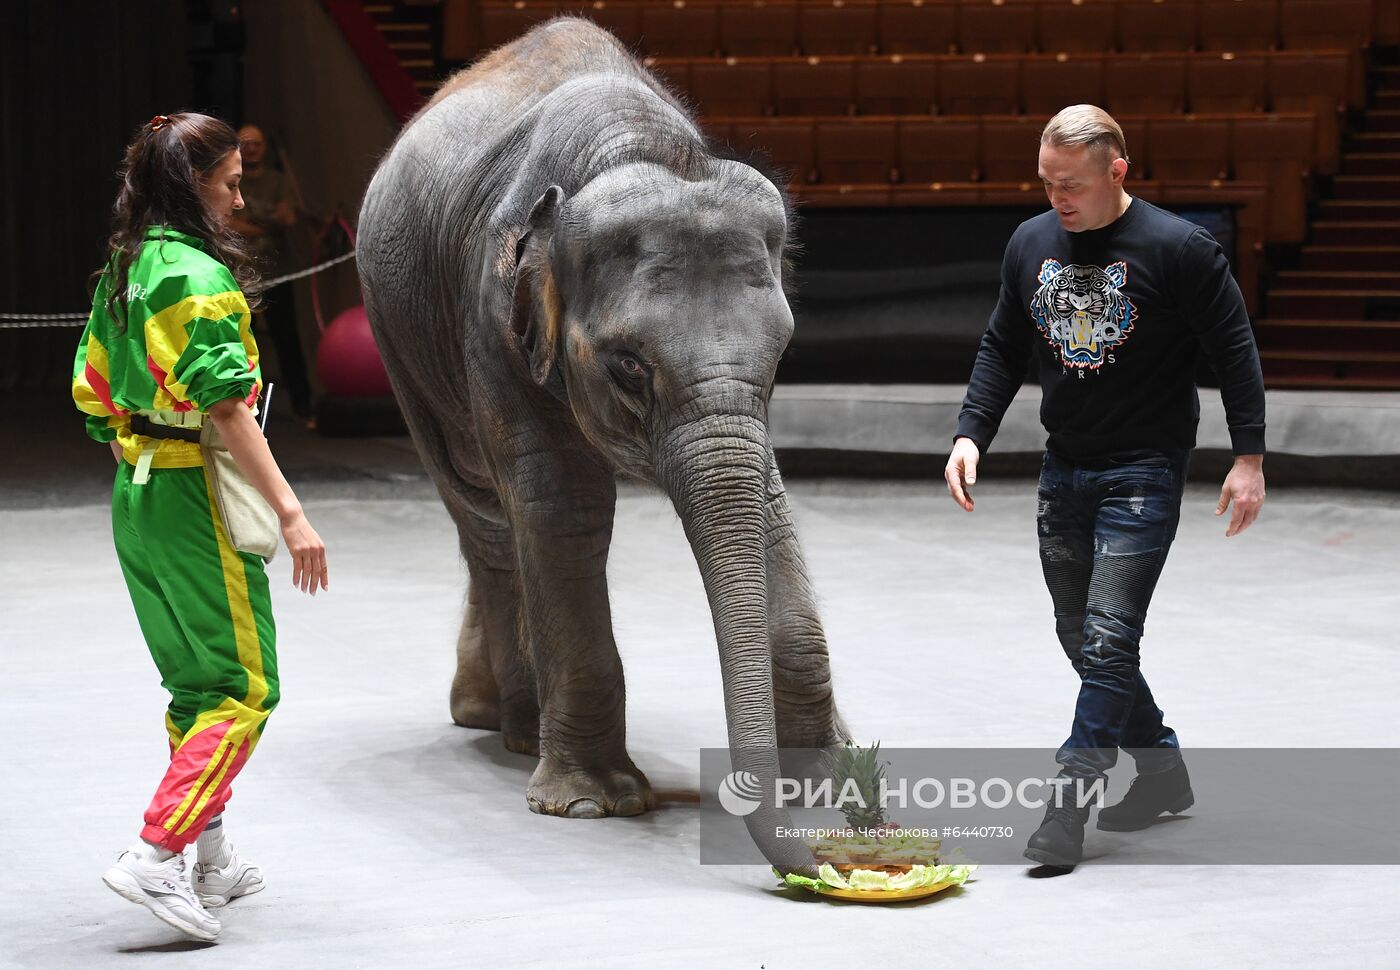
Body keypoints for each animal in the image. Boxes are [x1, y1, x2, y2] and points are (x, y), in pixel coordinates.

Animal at [355, 15, 845, 867]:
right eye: (628, 365)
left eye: (784, 352)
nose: (819, 861)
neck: (637, 149)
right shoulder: (494, 319)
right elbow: (563, 506)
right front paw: (591, 804)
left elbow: (766, 501)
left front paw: (832, 787)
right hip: (398, 338)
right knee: (484, 516)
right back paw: (512, 725)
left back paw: (490, 713)